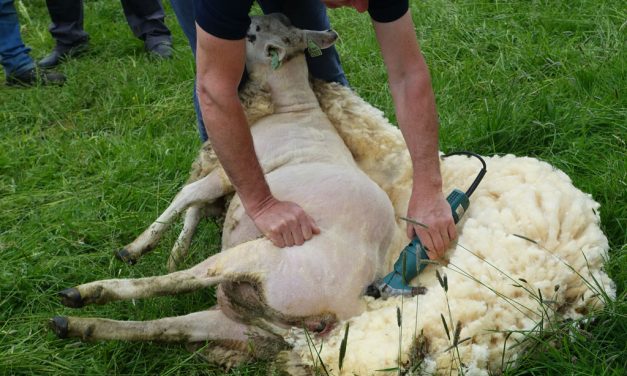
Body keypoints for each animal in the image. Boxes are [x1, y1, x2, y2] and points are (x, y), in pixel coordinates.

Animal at [47, 12, 612, 376]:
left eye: (252, 33)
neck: (295, 104)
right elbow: (194, 203)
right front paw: (171, 242)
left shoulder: (231, 172)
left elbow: (189, 196)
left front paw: (144, 246)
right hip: (236, 319)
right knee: (169, 329)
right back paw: (75, 324)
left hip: (263, 266)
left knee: (168, 289)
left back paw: (87, 291)